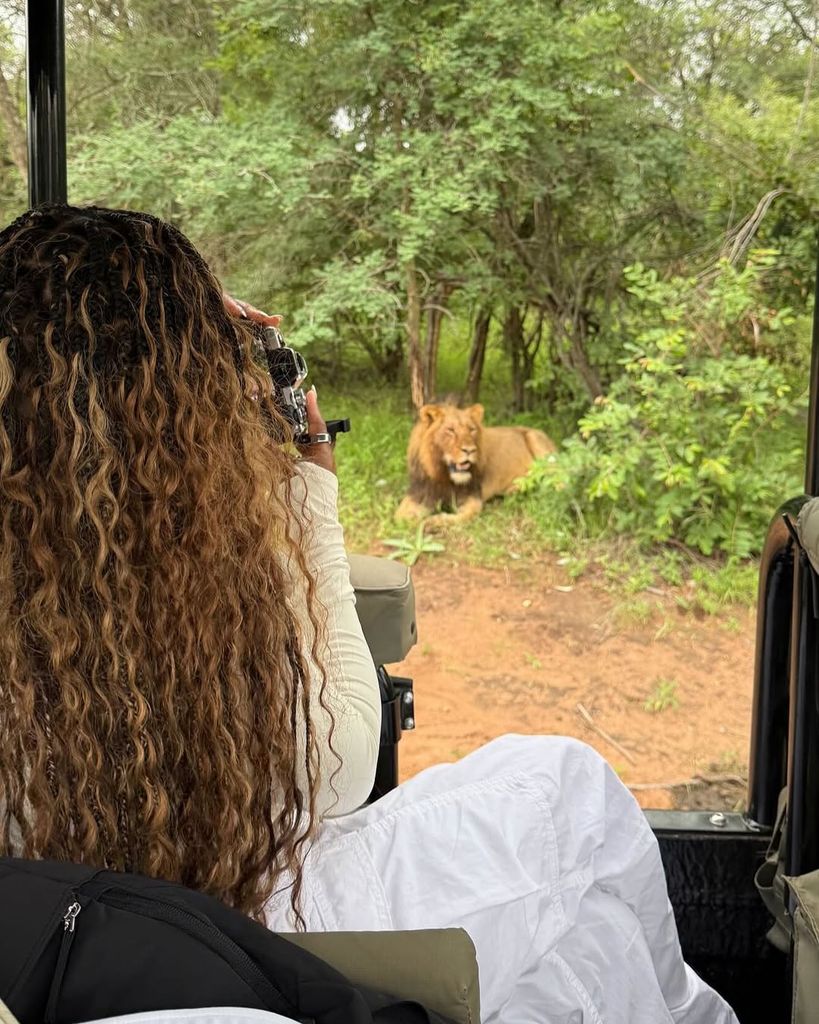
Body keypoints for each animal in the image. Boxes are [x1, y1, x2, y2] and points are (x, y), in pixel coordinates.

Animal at [397, 401, 556, 528]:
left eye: (471, 429)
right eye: (450, 430)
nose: (470, 450)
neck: (443, 476)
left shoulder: (473, 498)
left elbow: (458, 517)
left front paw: (432, 521)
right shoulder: (418, 494)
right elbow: (400, 517)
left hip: (536, 439)